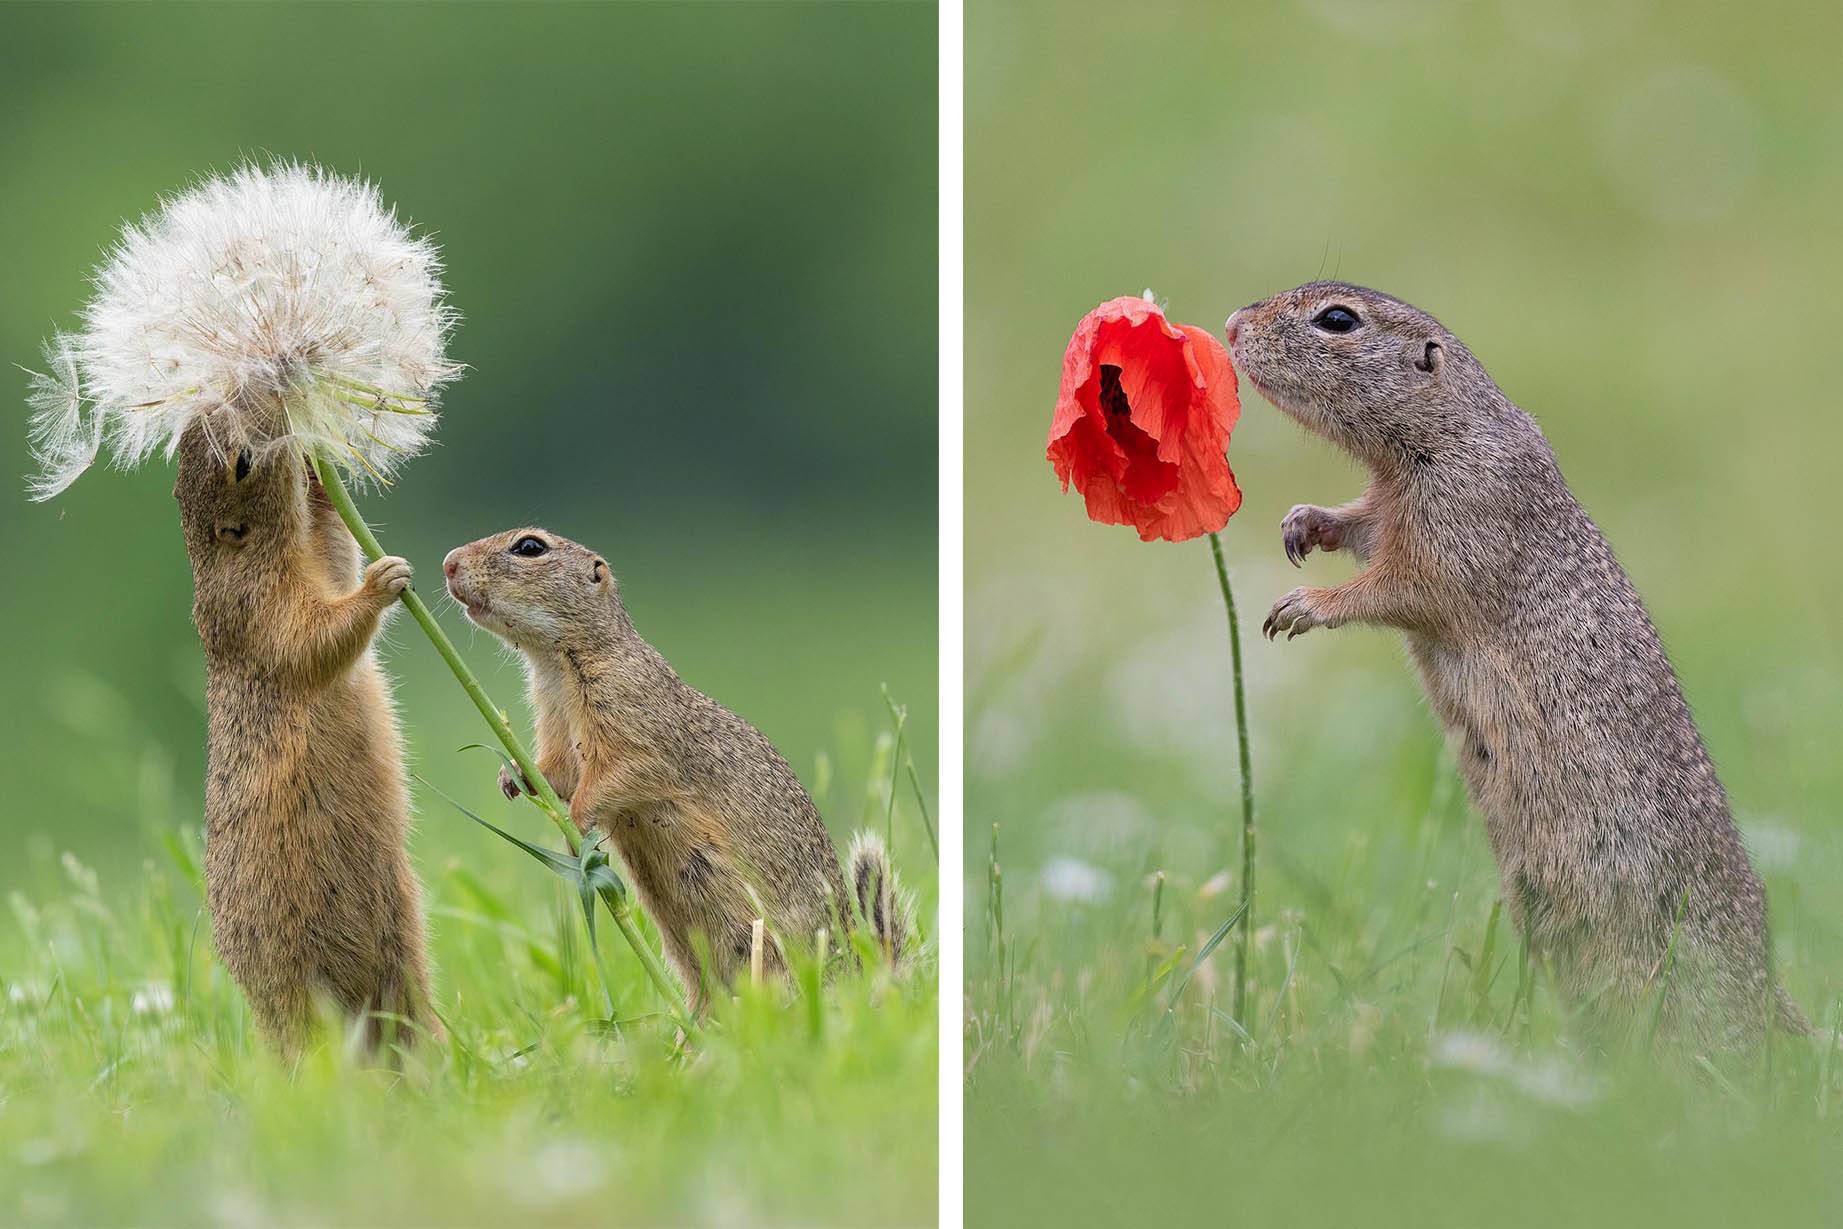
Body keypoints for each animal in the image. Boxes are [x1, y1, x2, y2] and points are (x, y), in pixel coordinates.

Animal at [173, 414, 435, 1053]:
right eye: (242, 461)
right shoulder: (258, 609)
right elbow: (316, 635)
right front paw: (383, 579)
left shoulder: (316, 557)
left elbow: (337, 547)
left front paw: (320, 473)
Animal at [442, 528, 912, 1014]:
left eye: (530, 547)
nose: (448, 563)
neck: (557, 667)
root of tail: (859, 983)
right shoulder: (556, 729)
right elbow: (556, 774)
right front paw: (513, 776)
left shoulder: (632, 719)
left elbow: (618, 776)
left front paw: (576, 825)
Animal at [1226, 281, 1803, 1050]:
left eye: (1337, 320)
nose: (1232, 325)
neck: (1449, 429)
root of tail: (1761, 996)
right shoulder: (1386, 506)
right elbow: (1358, 523)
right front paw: (1302, 522)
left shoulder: (1457, 518)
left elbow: (1396, 586)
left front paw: (1303, 604)